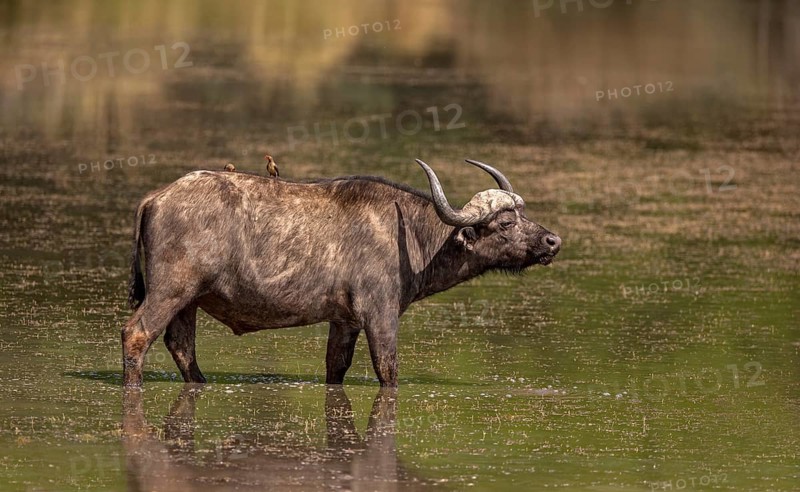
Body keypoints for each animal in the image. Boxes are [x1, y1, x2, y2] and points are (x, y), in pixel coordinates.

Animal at [121, 159, 561, 387]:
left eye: (521, 215)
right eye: (505, 223)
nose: (553, 241)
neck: (412, 236)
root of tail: (156, 197)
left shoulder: (344, 321)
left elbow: (337, 366)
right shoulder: (380, 316)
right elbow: (388, 369)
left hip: (189, 301)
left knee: (181, 345)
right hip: (170, 291)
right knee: (137, 334)